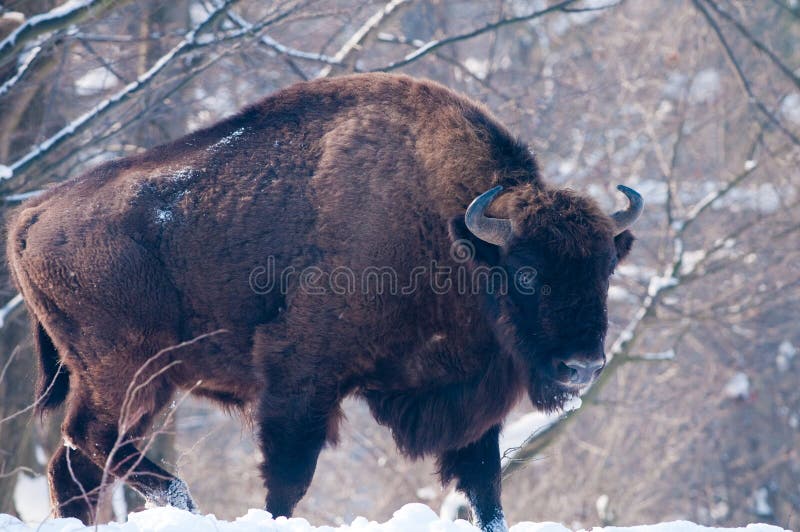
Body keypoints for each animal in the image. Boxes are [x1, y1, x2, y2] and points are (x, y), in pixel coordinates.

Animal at [6, 72, 640, 528]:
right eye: (527, 272)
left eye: (605, 268)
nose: (582, 366)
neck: (452, 234)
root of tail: (33, 213)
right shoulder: (301, 379)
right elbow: (289, 479)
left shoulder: (466, 398)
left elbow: (486, 488)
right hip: (127, 373)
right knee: (91, 442)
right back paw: (184, 503)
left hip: (144, 384)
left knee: (78, 465)